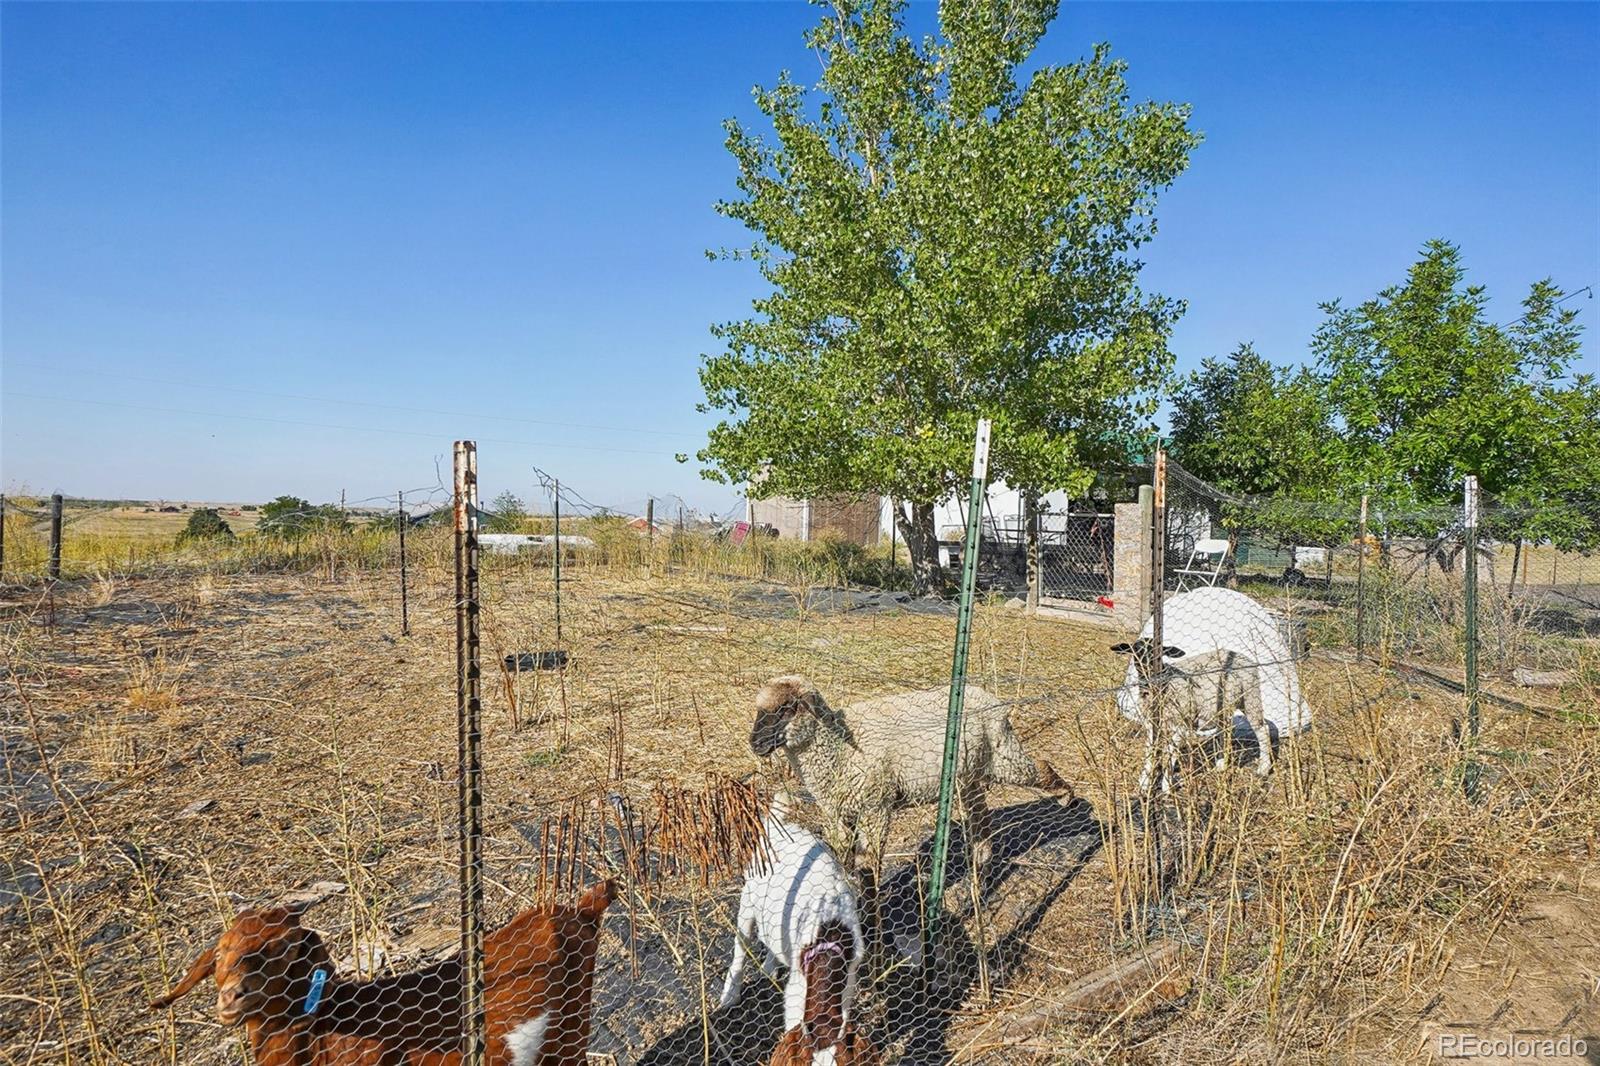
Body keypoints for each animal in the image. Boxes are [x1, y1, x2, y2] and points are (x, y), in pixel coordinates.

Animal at [716, 787, 864, 1030]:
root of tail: (775, 827)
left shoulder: (848, 982)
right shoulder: (798, 988)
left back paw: (769, 967)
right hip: (748, 900)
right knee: (741, 945)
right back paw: (730, 995)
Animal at [748, 675, 1075, 870]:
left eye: (787, 709)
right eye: (759, 711)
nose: (755, 743)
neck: (838, 747)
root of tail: (987, 696)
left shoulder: (876, 808)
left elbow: (869, 863)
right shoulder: (838, 814)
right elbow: (845, 856)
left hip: (1003, 755)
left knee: (1036, 768)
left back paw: (1066, 796)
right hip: (969, 775)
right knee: (980, 813)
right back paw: (981, 857)